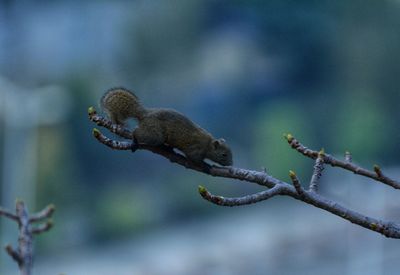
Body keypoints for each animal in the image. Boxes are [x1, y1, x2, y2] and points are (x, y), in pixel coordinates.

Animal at [100, 88, 233, 166]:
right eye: (224, 155)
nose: (231, 164)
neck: (208, 144)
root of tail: (145, 115)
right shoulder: (195, 149)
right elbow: (195, 159)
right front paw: (207, 167)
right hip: (154, 134)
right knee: (137, 132)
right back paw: (135, 140)